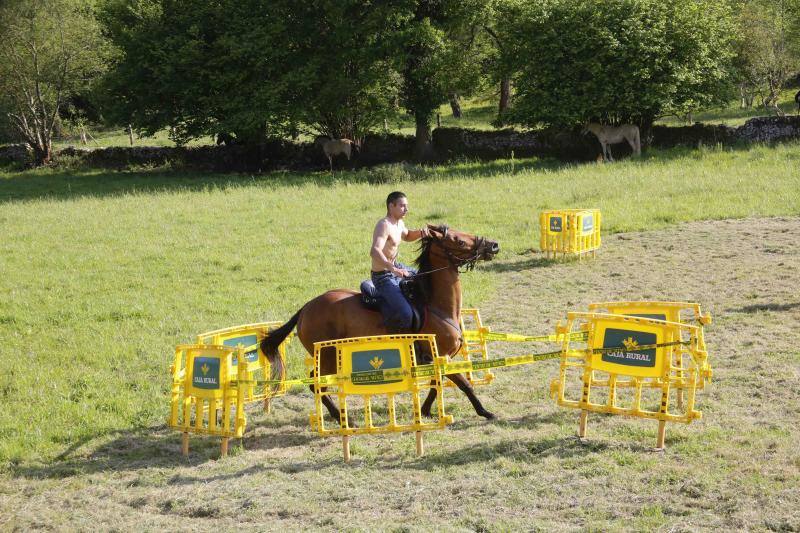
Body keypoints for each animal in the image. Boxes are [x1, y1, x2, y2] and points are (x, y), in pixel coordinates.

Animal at [261, 224, 500, 424]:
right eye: (458, 241)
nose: (494, 245)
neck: (436, 306)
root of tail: (306, 308)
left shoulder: (438, 359)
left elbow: (436, 383)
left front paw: (425, 410)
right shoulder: (442, 356)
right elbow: (464, 384)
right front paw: (485, 412)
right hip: (327, 356)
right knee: (315, 383)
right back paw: (343, 419)